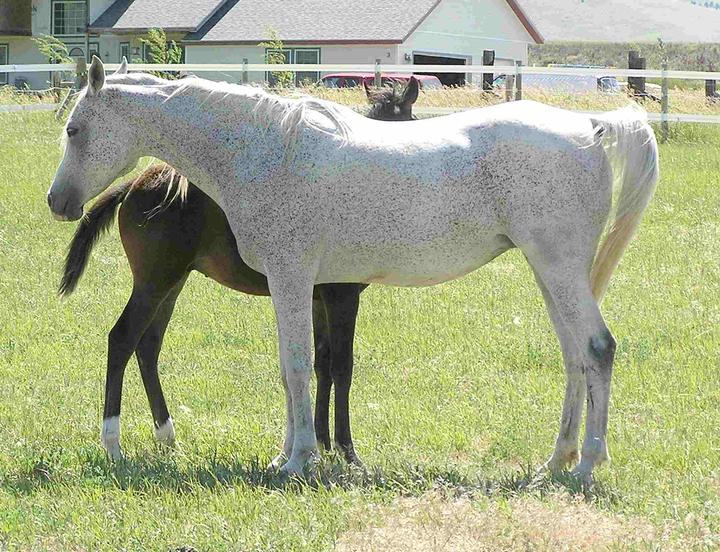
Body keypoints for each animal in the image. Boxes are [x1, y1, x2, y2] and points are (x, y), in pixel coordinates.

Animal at [62, 77, 422, 464]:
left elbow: (321, 362)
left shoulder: (314, 297)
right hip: (154, 283)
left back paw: (166, 434)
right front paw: (345, 449)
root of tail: (134, 185)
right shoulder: (341, 296)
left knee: (148, 346)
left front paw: (322, 442)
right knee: (122, 339)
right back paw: (113, 442)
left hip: (171, 284)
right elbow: (341, 366)